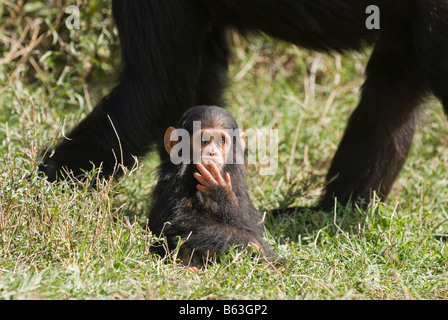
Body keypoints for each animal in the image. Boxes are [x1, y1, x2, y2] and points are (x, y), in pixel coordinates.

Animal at [150, 105, 276, 268]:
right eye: (203, 140)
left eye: (221, 141)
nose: (212, 152)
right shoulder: (176, 179)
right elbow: (177, 218)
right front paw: (247, 241)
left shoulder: (235, 179)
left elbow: (250, 220)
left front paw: (221, 192)